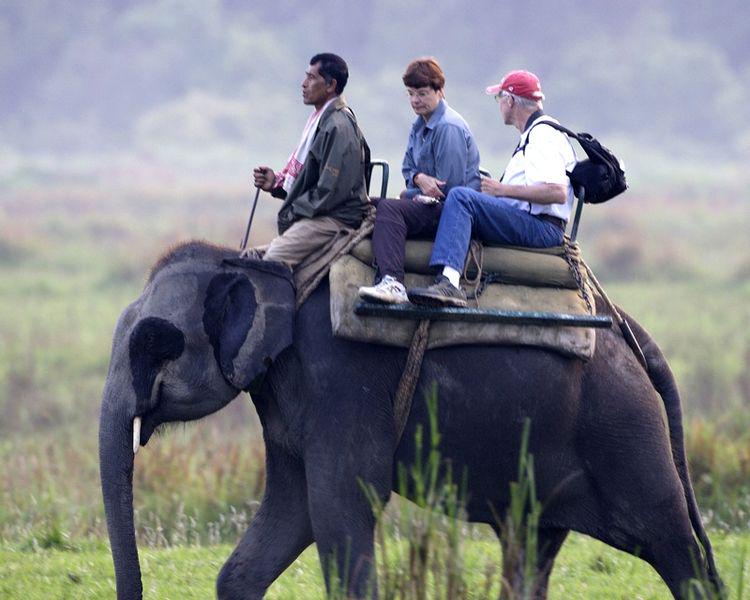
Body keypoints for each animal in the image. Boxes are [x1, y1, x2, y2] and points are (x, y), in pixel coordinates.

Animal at [99, 240, 723, 599]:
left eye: (152, 345)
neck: (262, 264)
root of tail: (630, 329)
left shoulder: (340, 379)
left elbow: (339, 506)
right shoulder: (283, 393)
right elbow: (292, 511)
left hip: (621, 426)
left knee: (673, 545)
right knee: (531, 545)